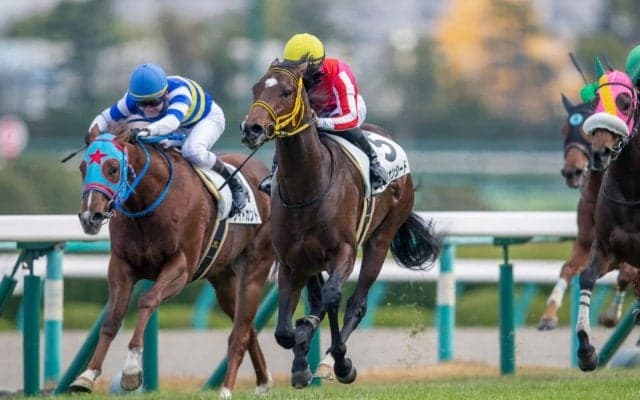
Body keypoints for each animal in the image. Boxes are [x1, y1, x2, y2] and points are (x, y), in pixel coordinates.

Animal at [71, 126, 275, 398]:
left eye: (113, 168)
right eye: (83, 167)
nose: (89, 217)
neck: (150, 203)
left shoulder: (181, 267)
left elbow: (147, 300)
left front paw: (131, 371)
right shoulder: (121, 266)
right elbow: (112, 318)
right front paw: (87, 375)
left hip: (255, 266)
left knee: (240, 331)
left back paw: (226, 389)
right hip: (223, 278)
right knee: (247, 324)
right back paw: (263, 381)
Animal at [240, 59, 441, 388]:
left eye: (285, 92)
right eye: (256, 88)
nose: (252, 129)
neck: (307, 186)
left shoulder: (343, 250)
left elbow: (332, 299)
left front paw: (337, 359)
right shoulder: (291, 261)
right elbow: (285, 330)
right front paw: (300, 357)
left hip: (379, 240)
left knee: (355, 304)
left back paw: (333, 361)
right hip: (312, 260)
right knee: (319, 300)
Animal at [538, 94, 637, 330]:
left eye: (586, 130)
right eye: (564, 130)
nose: (571, 172)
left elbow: (626, 273)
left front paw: (611, 315)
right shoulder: (586, 243)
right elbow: (568, 267)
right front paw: (549, 315)